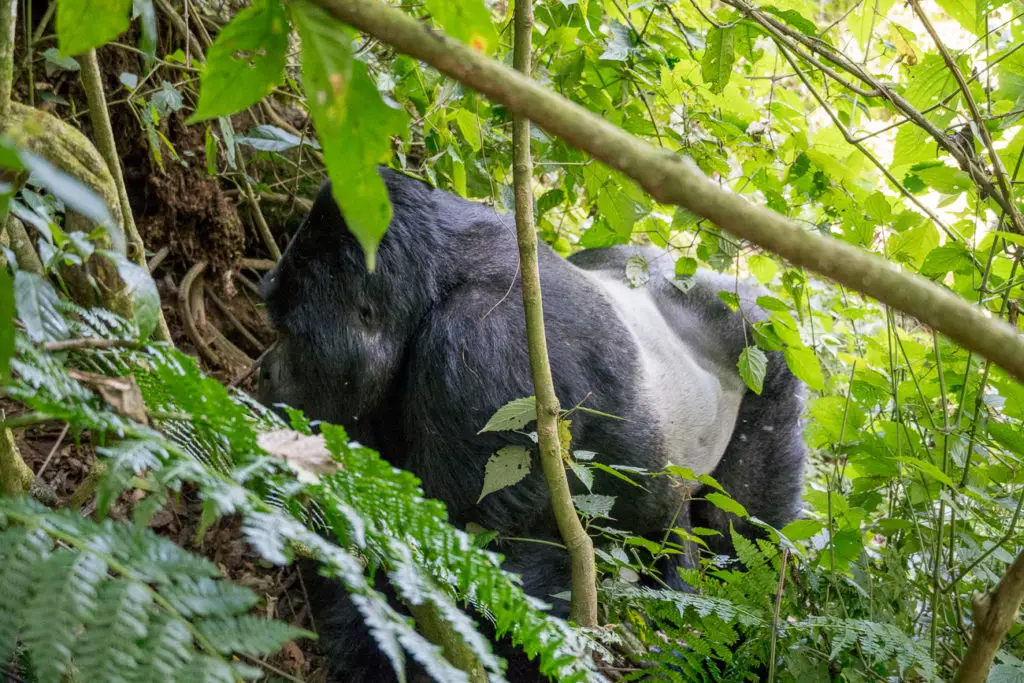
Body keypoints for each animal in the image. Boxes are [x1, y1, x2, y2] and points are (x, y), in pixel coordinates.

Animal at [258, 166, 806, 683]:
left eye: (288, 334)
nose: (263, 371)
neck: (440, 276)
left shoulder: (485, 350)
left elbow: (470, 568)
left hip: (770, 347)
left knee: (740, 531)